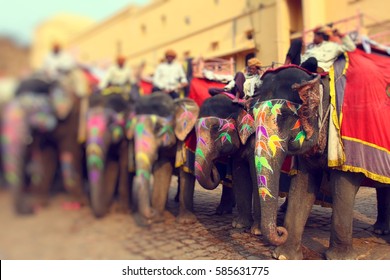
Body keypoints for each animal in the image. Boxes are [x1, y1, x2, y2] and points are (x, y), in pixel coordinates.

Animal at [0, 70, 90, 214]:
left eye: (33, 107)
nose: (30, 210)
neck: (49, 80)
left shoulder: (72, 119)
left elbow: (69, 152)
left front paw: (76, 203)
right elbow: (46, 156)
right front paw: (39, 203)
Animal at [126, 92, 200, 225]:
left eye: (158, 128)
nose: (151, 211)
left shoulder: (189, 138)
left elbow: (186, 171)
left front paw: (186, 221)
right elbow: (163, 169)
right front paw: (158, 218)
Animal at [250, 51, 390, 260]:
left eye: (285, 116)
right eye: (251, 113)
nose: (281, 230)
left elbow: (343, 184)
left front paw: (340, 259)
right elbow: (302, 183)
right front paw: (284, 256)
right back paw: (380, 230)